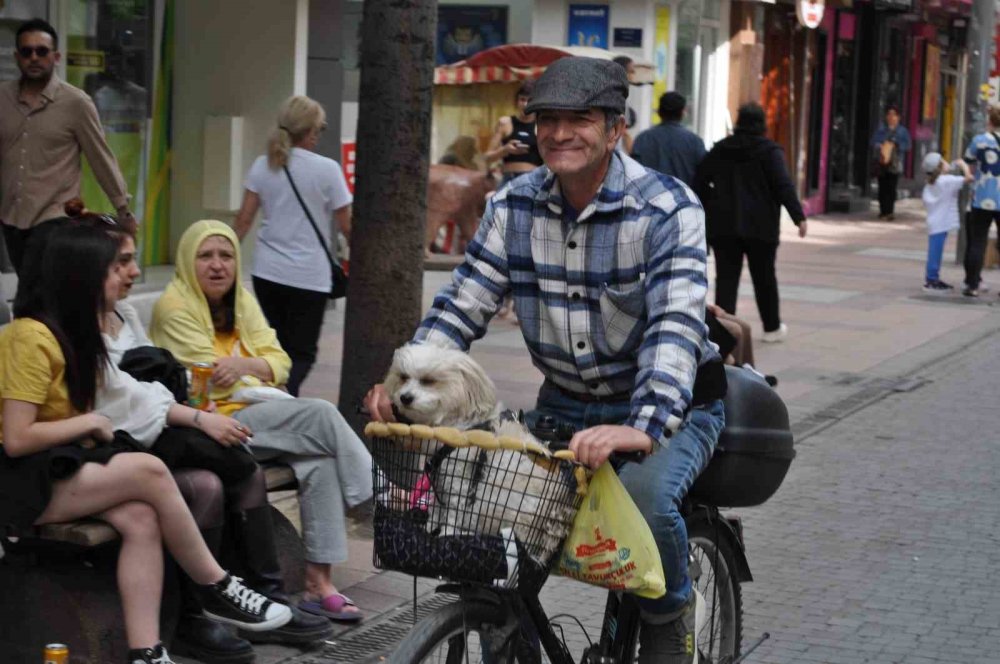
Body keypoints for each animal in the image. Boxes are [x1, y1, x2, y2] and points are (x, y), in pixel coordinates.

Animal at [382, 342, 576, 572]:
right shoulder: (440, 477)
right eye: (403, 377)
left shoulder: (460, 482)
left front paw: (446, 535)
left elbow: (453, 514)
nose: (405, 397)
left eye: (429, 380)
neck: (456, 425)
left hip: (502, 505)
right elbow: (437, 507)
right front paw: (430, 527)